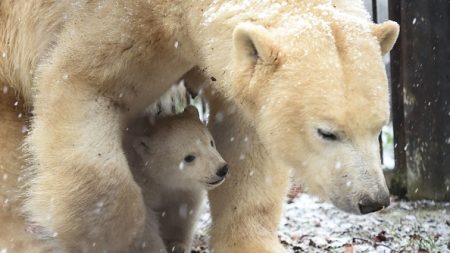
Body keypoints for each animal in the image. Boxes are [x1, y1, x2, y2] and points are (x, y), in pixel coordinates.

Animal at [0, 0, 398, 253]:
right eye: (326, 132)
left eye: (379, 127)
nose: (373, 200)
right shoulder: (104, 21)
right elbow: (79, 86)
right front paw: (127, 240)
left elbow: (243, 136)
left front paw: (250, 245)